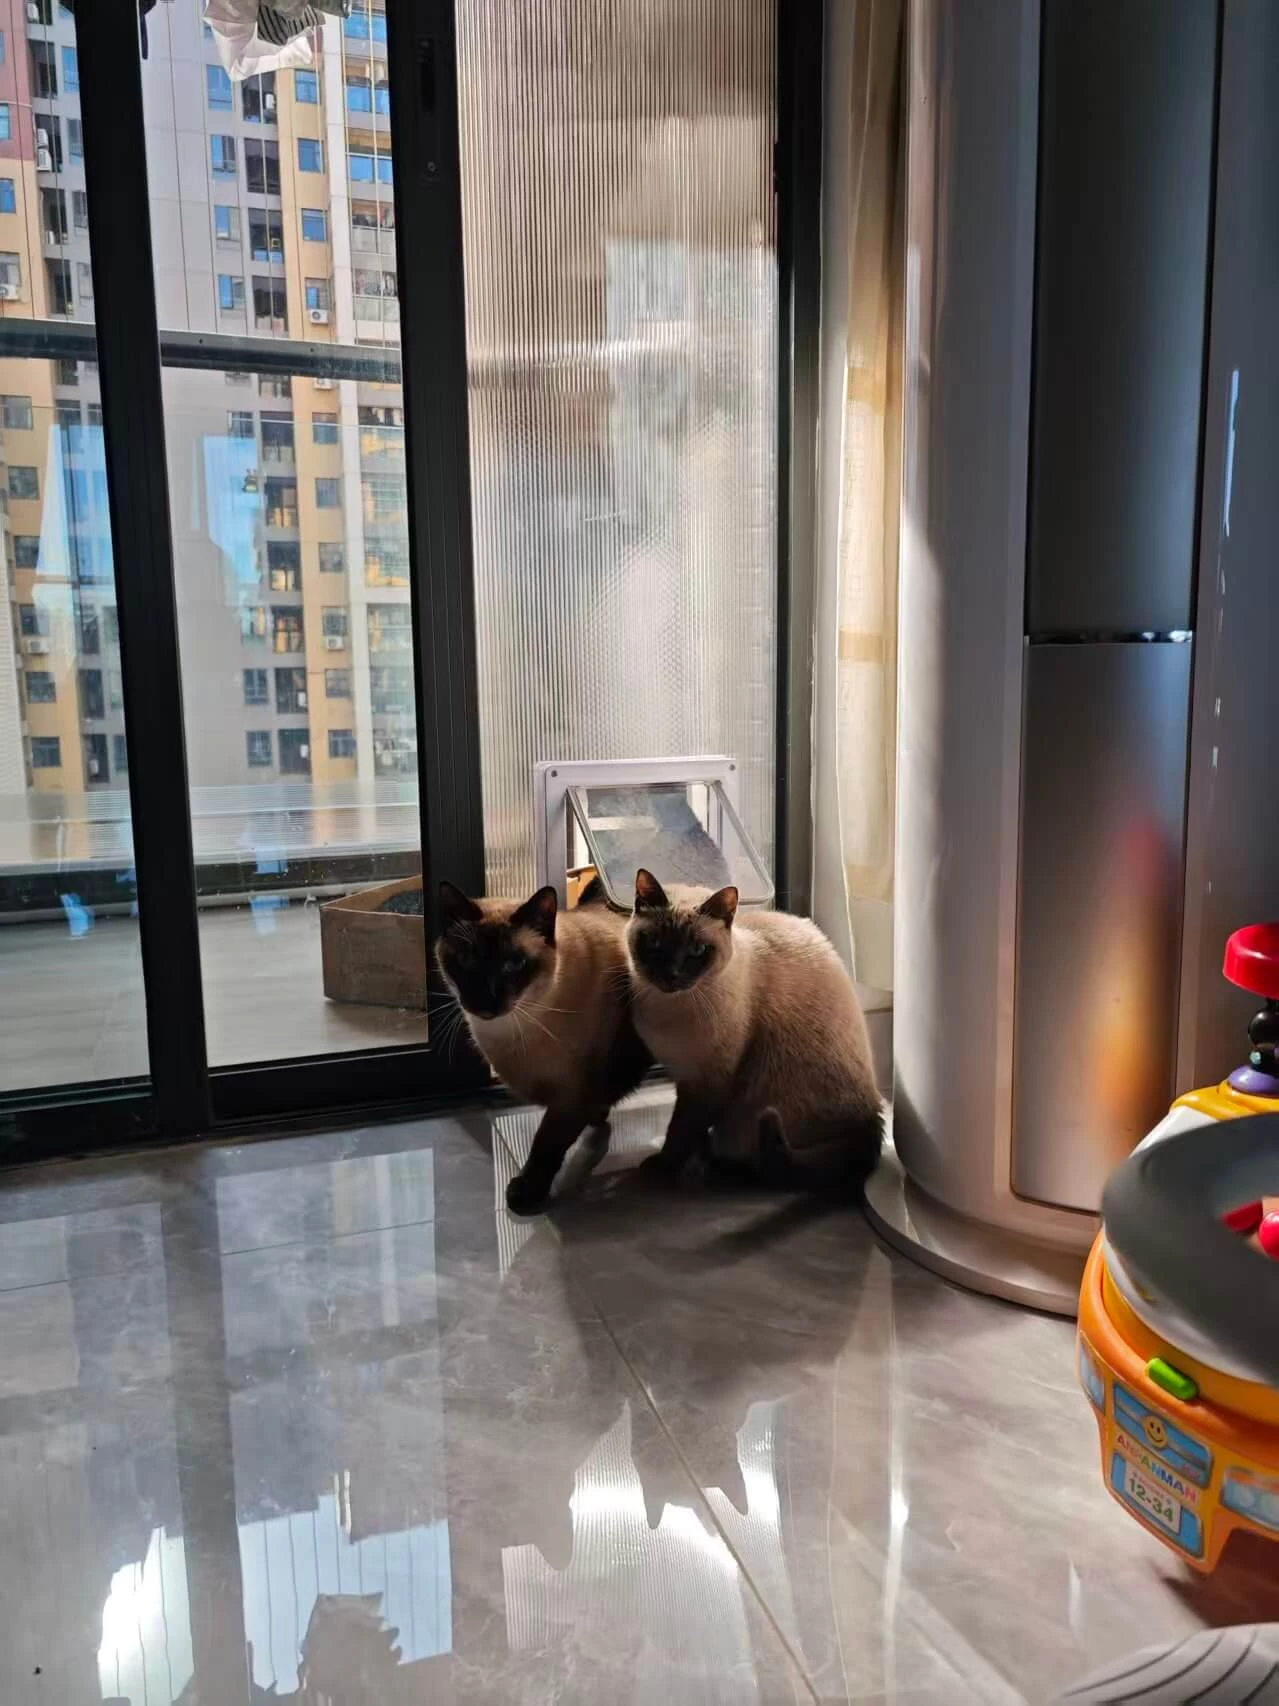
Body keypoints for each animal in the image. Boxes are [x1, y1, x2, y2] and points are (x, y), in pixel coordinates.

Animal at [436, 879, 651, 1214]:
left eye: (514, 964)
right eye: (467, 960)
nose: (486, 1001)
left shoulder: (570, 1095)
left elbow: (545, 1144)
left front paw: (526, 1192)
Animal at [626, 869, 883, 1190]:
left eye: (697, 950)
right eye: (655, 943)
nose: (670, 975)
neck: (669, 1008)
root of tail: (871, 1117)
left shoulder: (706, 1084)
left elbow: (681, 1131)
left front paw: (664, 1167)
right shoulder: (683, 1077)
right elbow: (692, 1134)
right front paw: (692, 1163)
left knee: (764, 1165)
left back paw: (725, 1165)